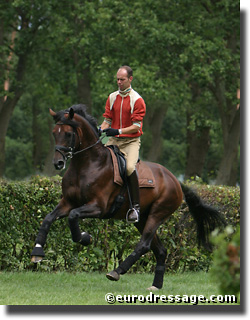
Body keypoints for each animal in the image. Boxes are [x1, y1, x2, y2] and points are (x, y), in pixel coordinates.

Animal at [30, 104, 225, 290]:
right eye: (54, 133)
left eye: (69, 134)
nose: (58, 163)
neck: (86, 164)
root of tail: (175, 180)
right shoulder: (68, 202)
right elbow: (48, 218)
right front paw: (37, 252)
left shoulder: (98, 207)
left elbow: (73, 216)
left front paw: (85, 237)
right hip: (142, 219)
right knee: (160, 250)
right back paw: (156, 285)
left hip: (157, 214)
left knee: (144, 245)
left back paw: (117, 271)